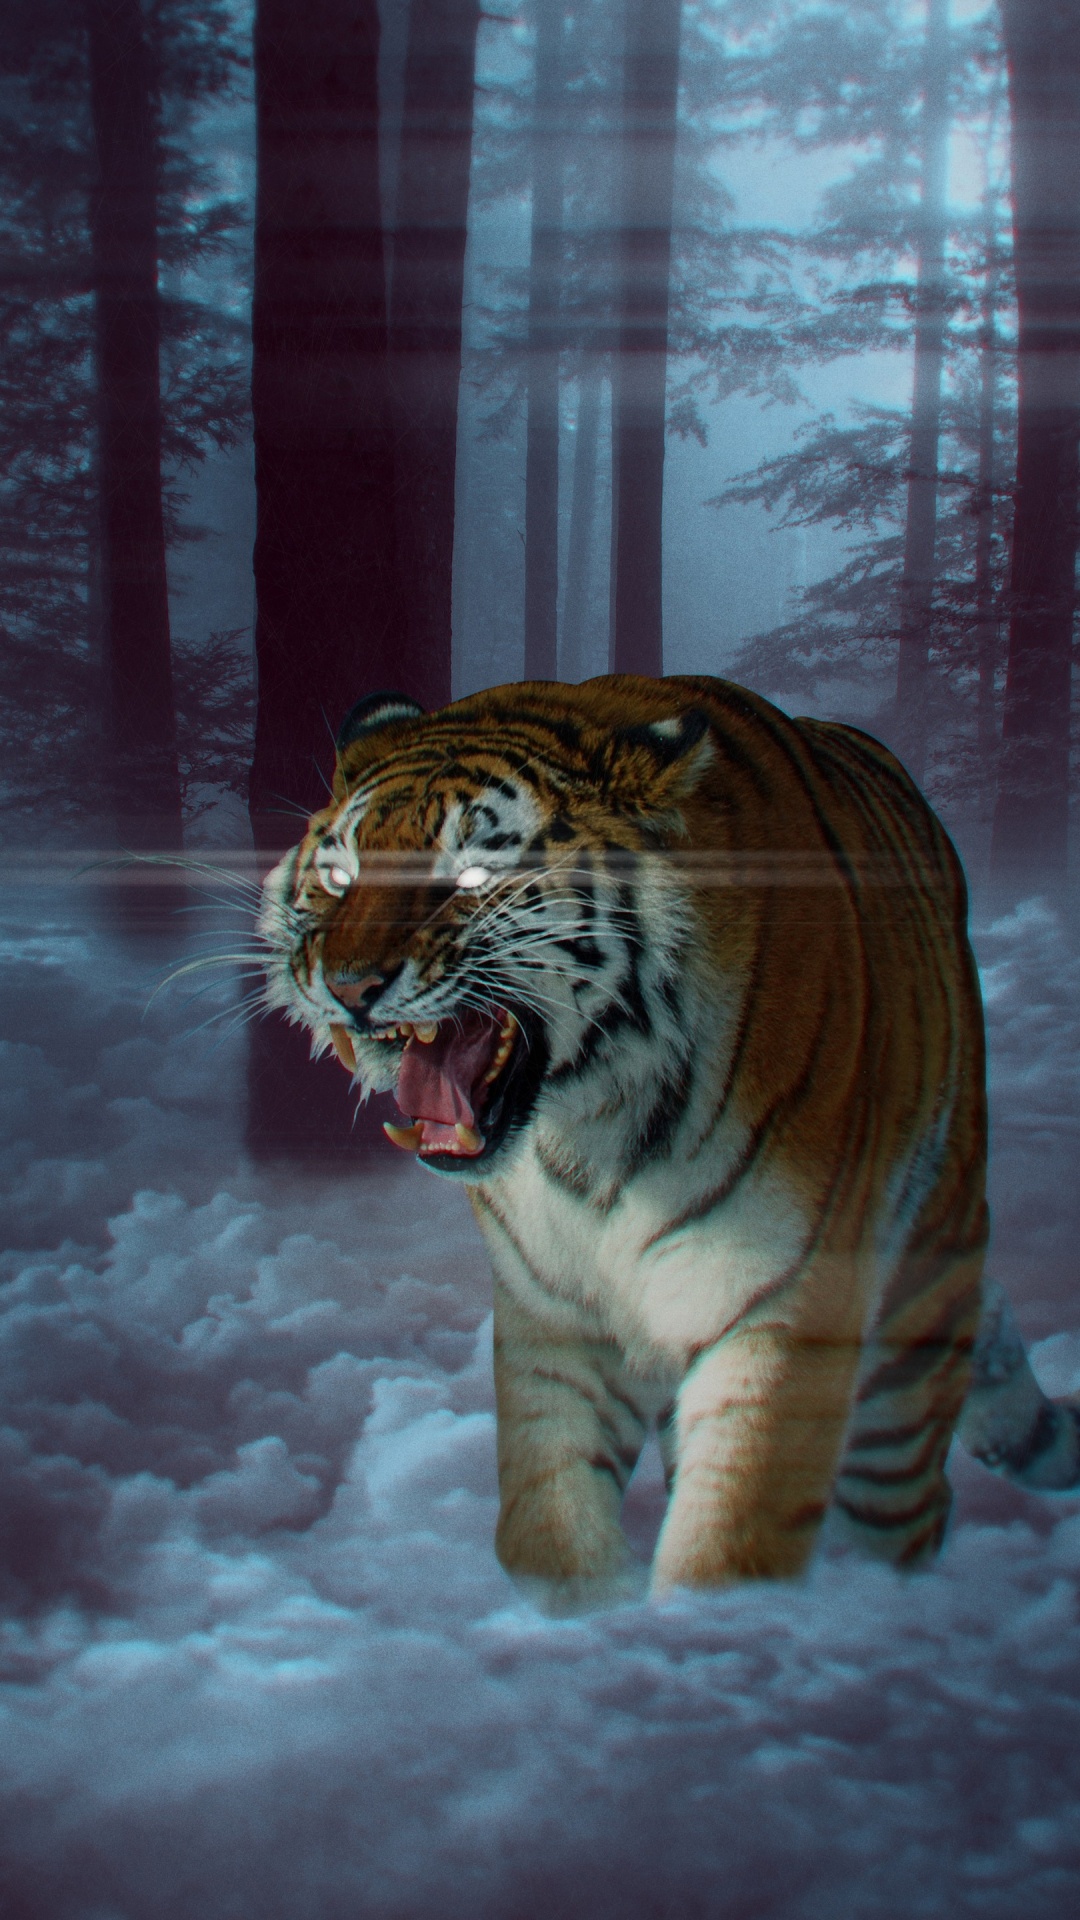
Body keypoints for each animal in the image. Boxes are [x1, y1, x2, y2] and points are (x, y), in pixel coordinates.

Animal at [258, 672, 1080, 1607]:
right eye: (339, 874)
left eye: (471, 874)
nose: (350, 985)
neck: (589, 1130)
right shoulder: (554, 1314)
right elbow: (549, 1518)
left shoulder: (784, 1304)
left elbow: (734, 1540)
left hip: (911, 1334)